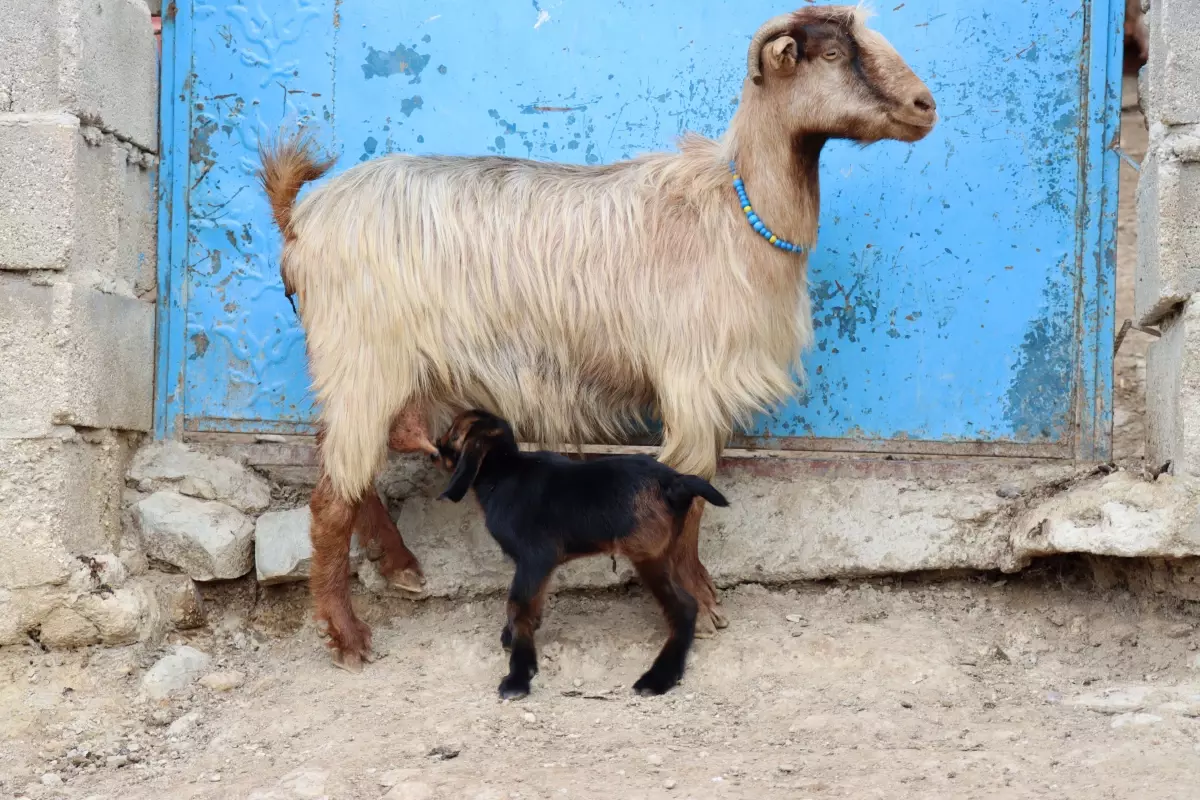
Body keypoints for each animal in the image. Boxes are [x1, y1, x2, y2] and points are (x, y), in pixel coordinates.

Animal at [434, 410, 729, 695]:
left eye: (453, 433)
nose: (436, 445)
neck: (504, 472)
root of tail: (674, 481)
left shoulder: (535, 559)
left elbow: (518, 608)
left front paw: (518, 676)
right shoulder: (536, 569)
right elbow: (531, 604)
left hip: (649, 557)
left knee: (684, 606)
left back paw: (658, 677)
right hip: (669, 550)